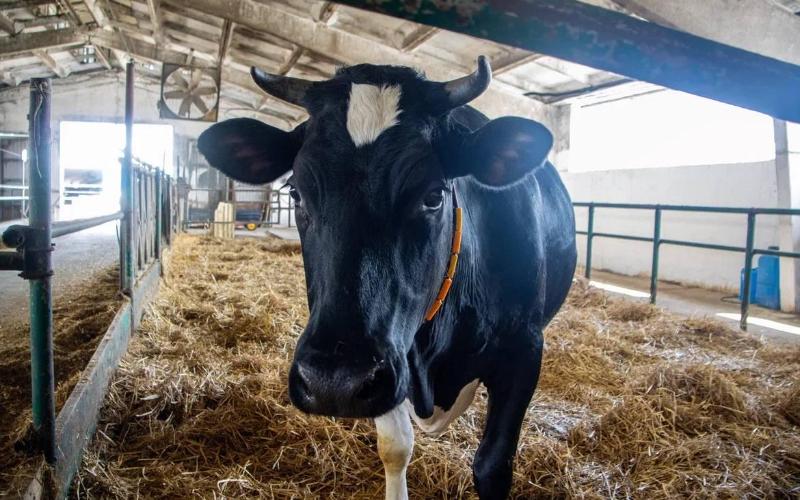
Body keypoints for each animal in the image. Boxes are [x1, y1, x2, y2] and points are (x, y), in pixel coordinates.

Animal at [198, 56, 577, 500]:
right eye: (295, 194)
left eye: (434, 195)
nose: (333, 381)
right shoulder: (391, 355)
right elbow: (395, 447)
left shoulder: (525, 348)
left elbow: (492, 465)